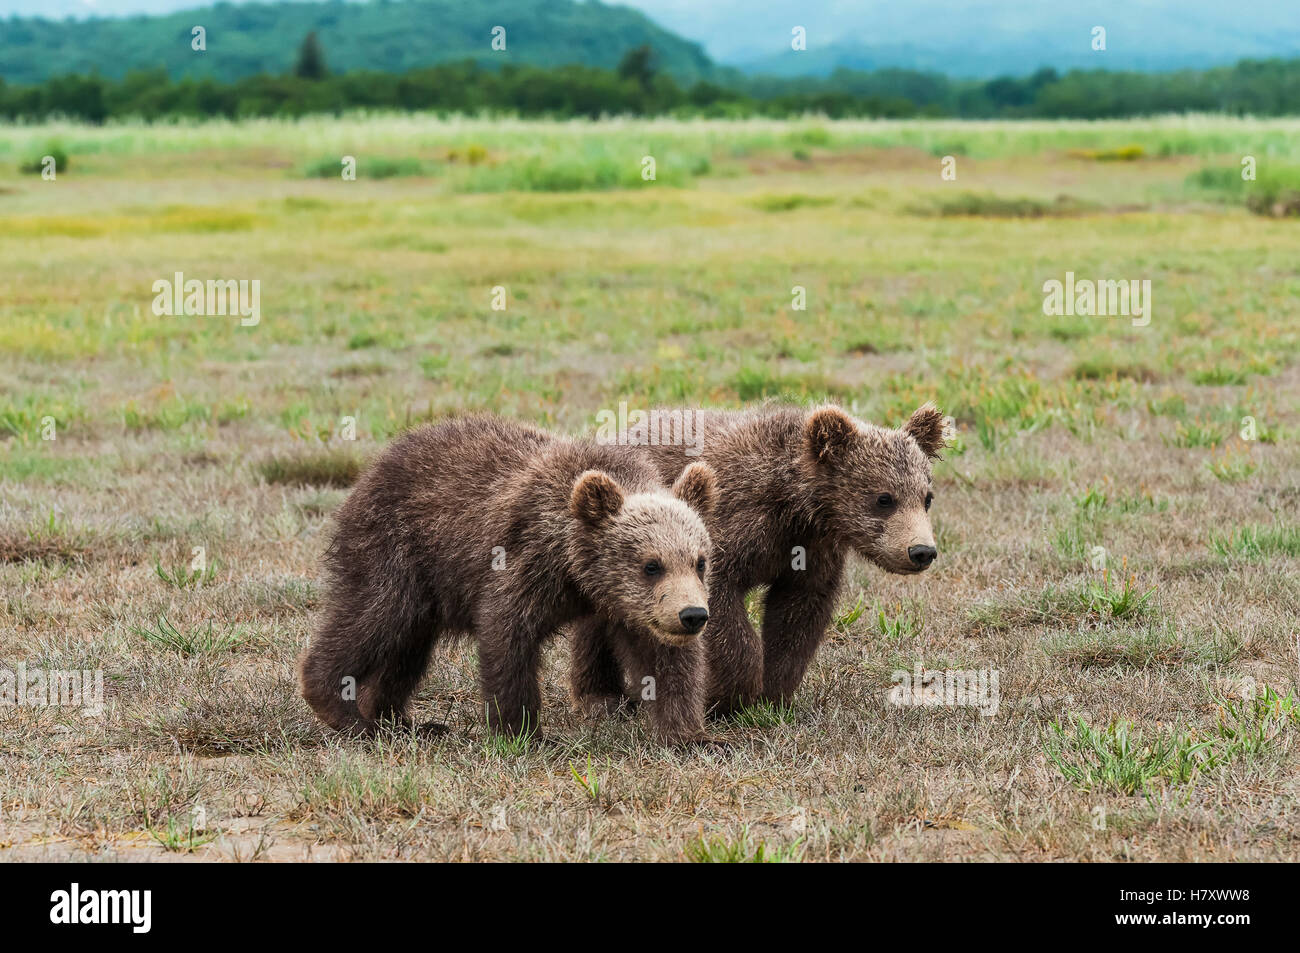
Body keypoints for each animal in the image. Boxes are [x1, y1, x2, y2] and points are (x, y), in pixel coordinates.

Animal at [297, 415, 719, 745]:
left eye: (699, 561)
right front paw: (525, 733)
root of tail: (371, 469)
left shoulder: (633, 608)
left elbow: (668, 661)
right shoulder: (525, 561)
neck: (577, 571)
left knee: (407, 650)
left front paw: (693, 736)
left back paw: (402, 721)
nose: (692, 615)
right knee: (373, 618)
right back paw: (346, 712)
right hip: (398, 552)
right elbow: (508, 637)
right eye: (651, 565)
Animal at [570, 403, 946, 717]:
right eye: (884, 498)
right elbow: (722, 609)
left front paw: (773, 691)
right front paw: (732, 693)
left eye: (926, 497)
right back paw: (602, 696)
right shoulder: (732, 525)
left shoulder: (811, 552)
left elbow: (797, 616)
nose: (921, 551)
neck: (797, 506)